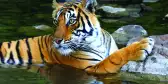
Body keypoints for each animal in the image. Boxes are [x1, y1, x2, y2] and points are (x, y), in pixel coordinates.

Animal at [0, 0, 155, 74]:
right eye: (56, 22)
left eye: (71, 21)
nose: (56, 41)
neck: (98, 41)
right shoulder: (91, 68)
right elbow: (115, 57)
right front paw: (143, 45)